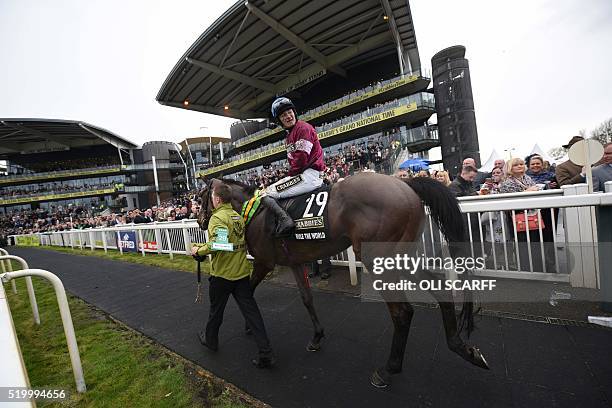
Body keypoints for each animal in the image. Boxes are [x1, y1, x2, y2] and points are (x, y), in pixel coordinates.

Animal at [198, 174, 490, 388]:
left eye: (200, 198)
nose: (201, 221)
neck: (255, 212)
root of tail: (404, 183)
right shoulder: (296, 262)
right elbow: (306, 298)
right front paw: (317, 337)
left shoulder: (263, 263)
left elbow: (246, 292)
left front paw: (248, 326)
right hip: (403, 255)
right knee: (441, 291)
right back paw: (463, 348)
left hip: (378, 258)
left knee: (402, 312)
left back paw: (388, 370)